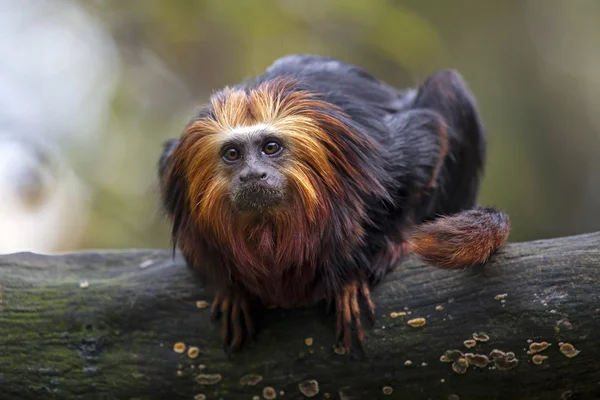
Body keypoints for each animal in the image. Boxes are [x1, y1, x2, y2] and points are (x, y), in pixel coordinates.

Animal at [156, 53, 510, 354]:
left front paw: (373, 256)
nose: (253, 175)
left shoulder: (376, 153)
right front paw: (231, 290)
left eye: (270, 147)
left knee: (446, 86)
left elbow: (427, 136)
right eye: (232, 154)